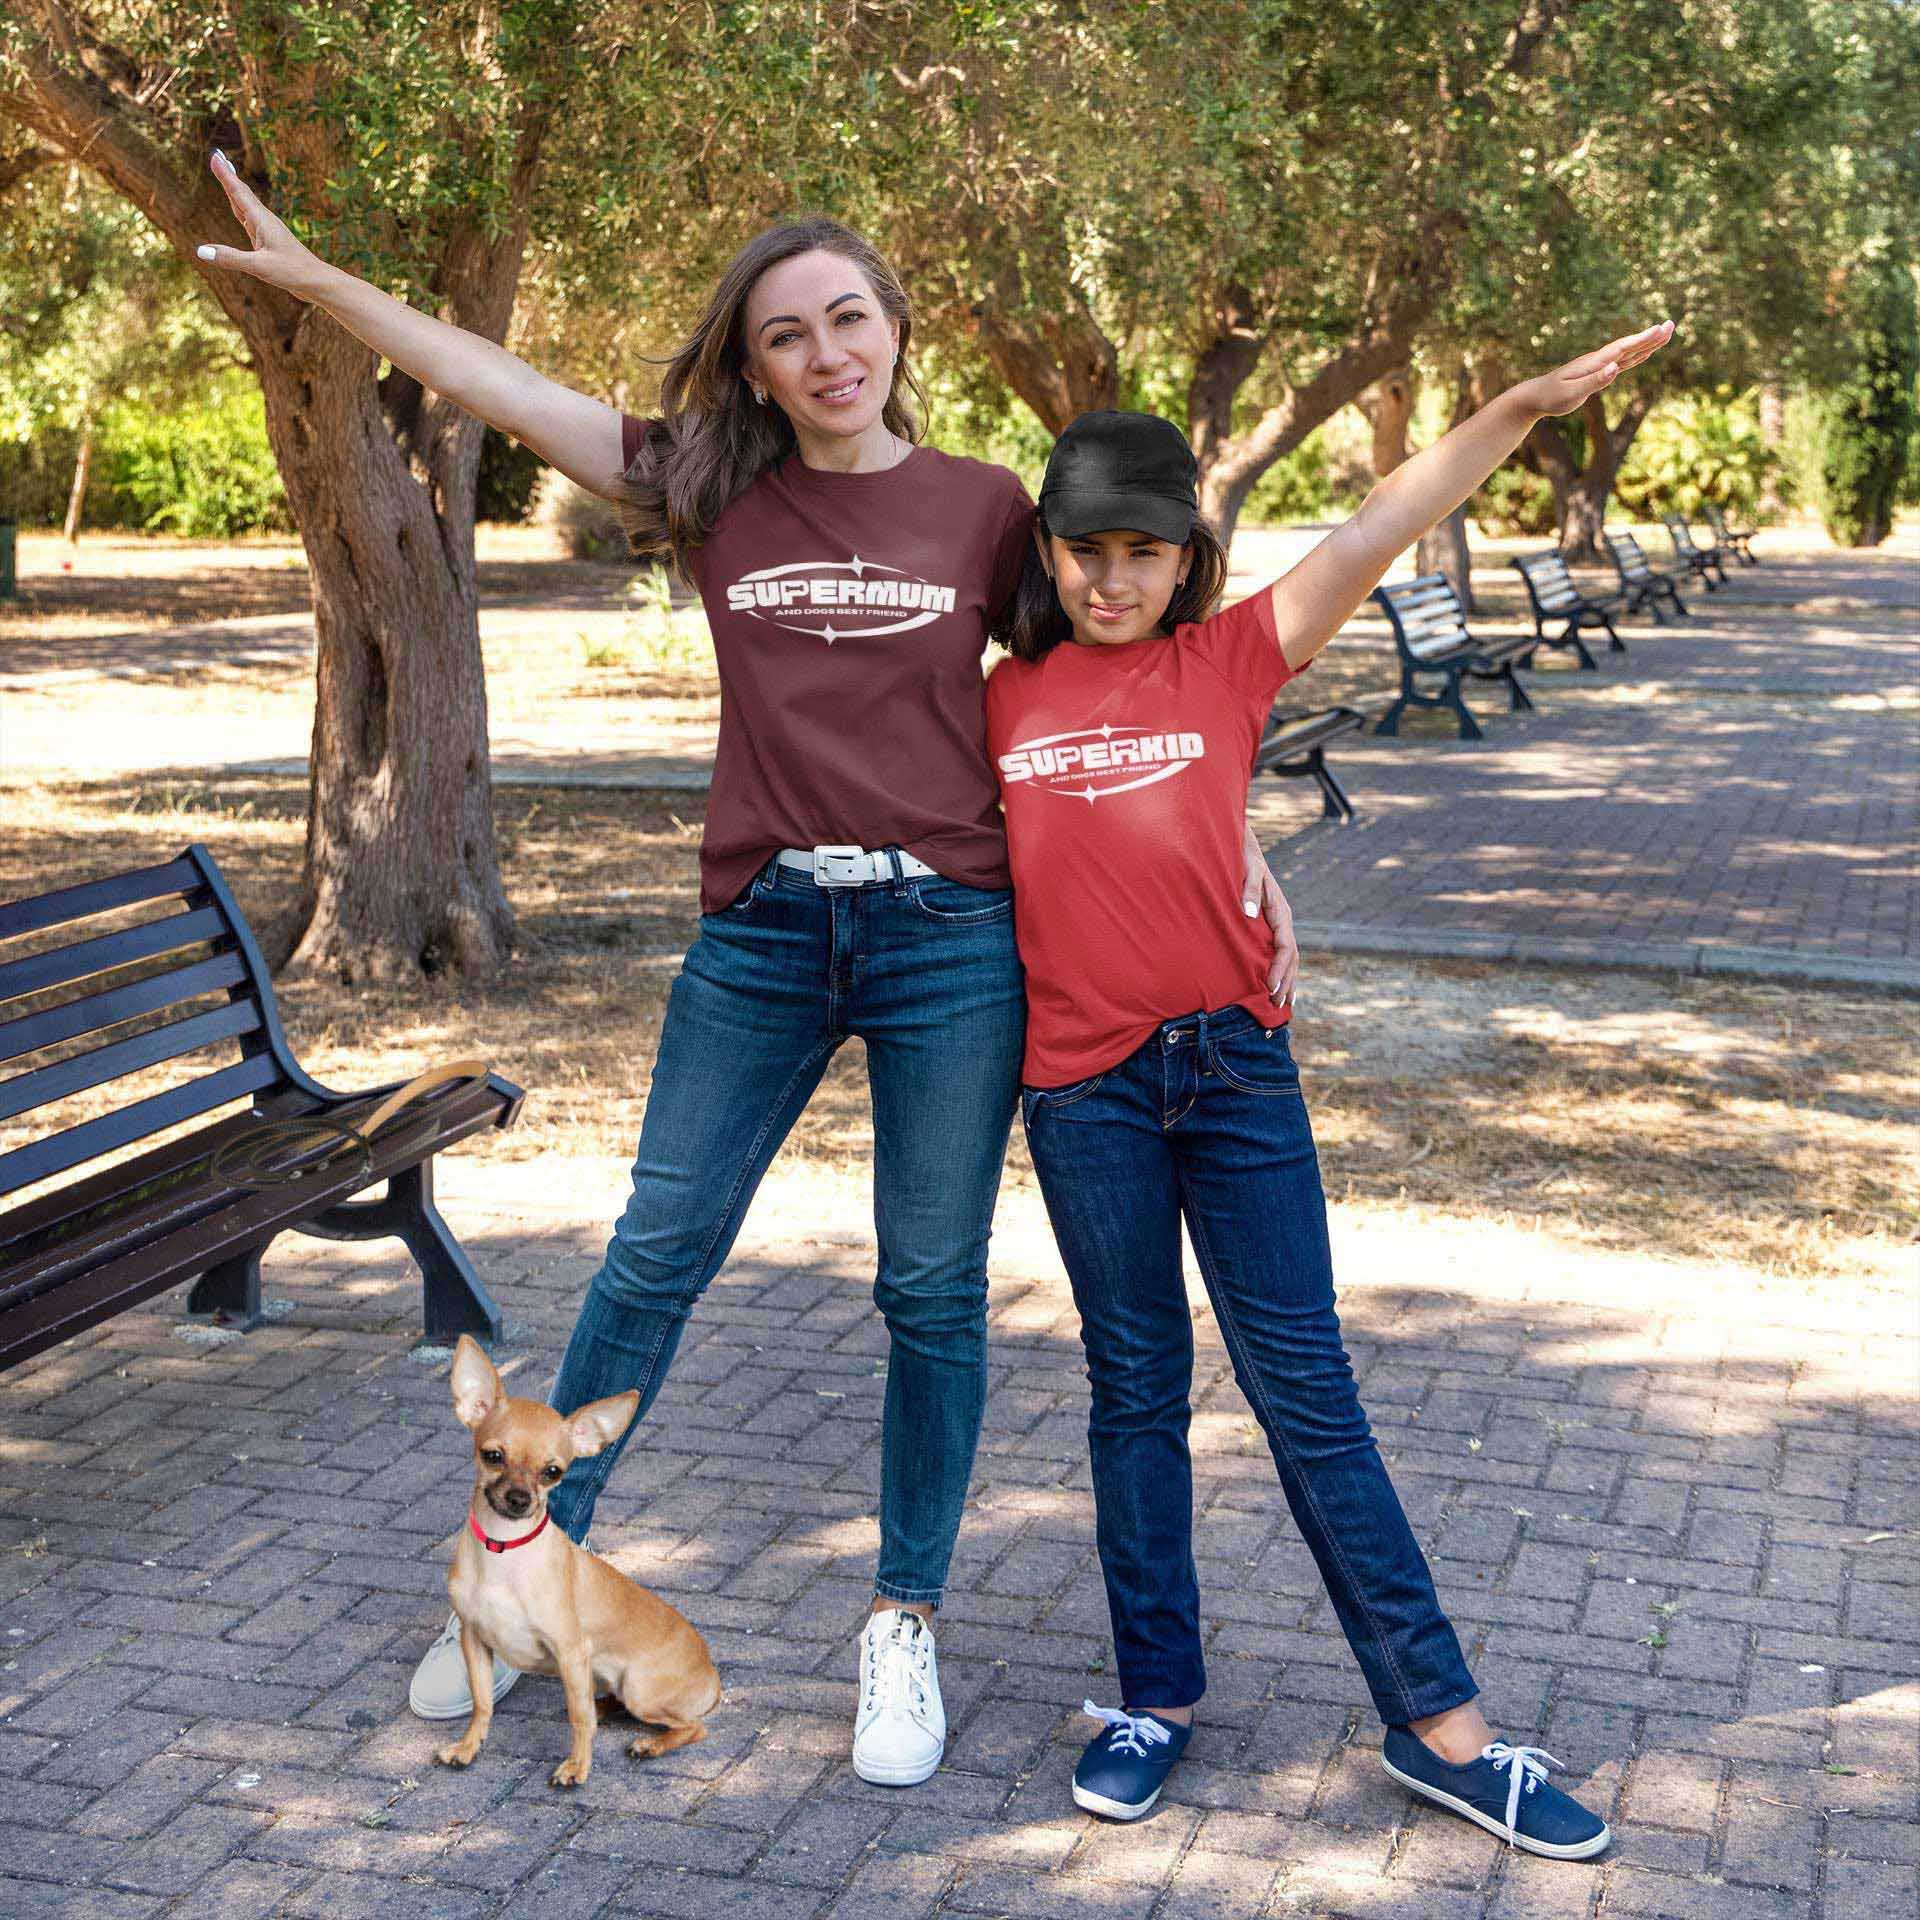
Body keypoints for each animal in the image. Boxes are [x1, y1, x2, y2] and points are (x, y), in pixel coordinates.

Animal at [435, 1336, 721, 1781]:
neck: (504, 1551)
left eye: (553, 1472)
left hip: (639, 1687)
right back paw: (606, 1707)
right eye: (493, 1456)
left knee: (693, 1727)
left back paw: (649, 1744)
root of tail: (712, 1674)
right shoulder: (475, 1640)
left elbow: (577, 1718)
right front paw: (468, 1747)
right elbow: (483, 1704)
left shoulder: (571, 1653)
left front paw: (577, 1766)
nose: (519, 1498)